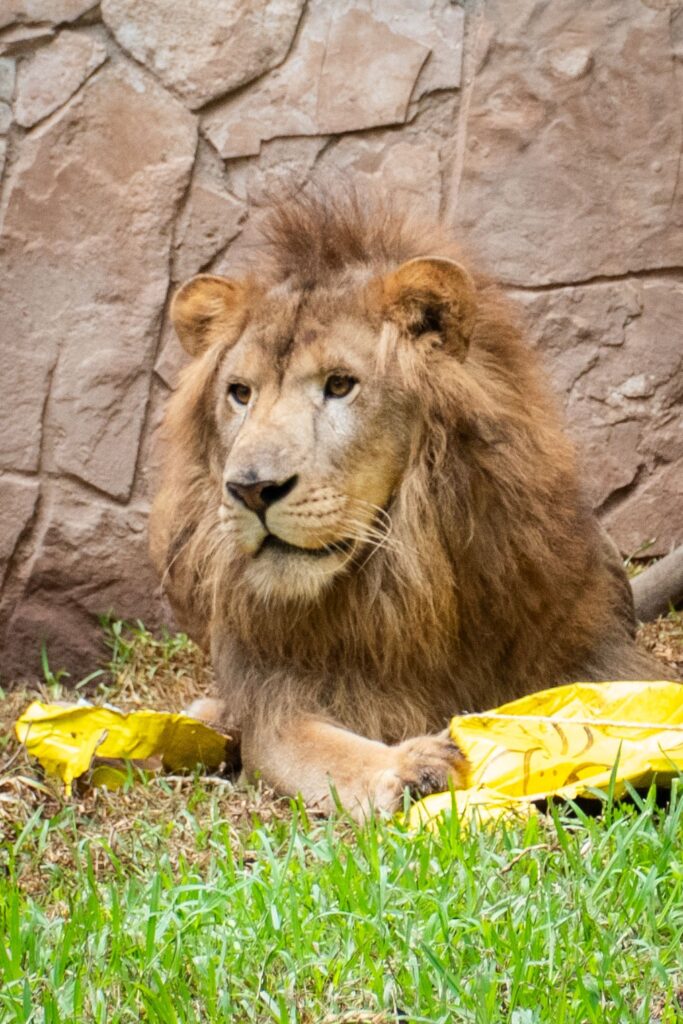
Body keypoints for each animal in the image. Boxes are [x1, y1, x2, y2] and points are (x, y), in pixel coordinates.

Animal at [150, 189, 670, 819]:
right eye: (240, 393)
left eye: (340, 384)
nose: (251, 489)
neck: (411, 577)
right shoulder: (274, 691)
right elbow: (315, 748)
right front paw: (409, 769)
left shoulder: (596, 653)